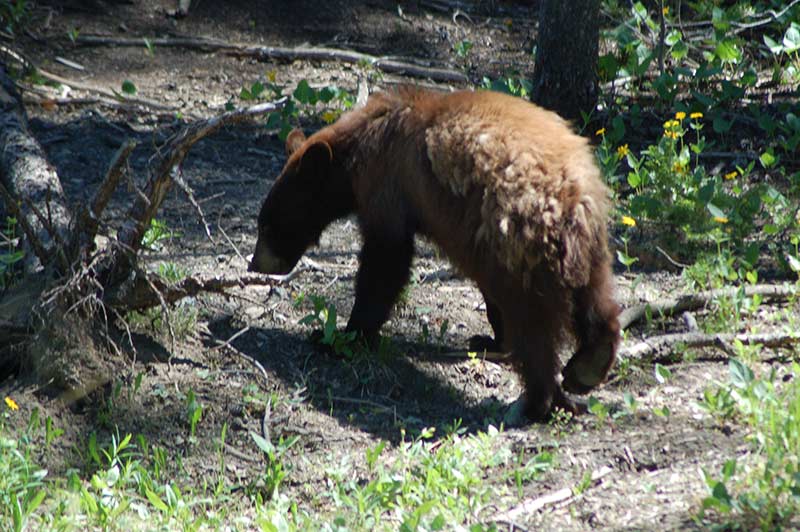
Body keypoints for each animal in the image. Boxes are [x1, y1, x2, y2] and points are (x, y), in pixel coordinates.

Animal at [247, 86, 620, 420]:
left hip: (521, 242)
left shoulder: (386, 184)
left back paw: (538, 400)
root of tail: (569, 195)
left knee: (533, 324)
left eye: (266, 225)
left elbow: (386, 262)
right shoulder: (480, 240)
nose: (255, 264)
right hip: (586, 244)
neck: (353, 149)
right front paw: (490, 340)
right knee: (596, 297)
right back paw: (588, 366)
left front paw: (343, 337)